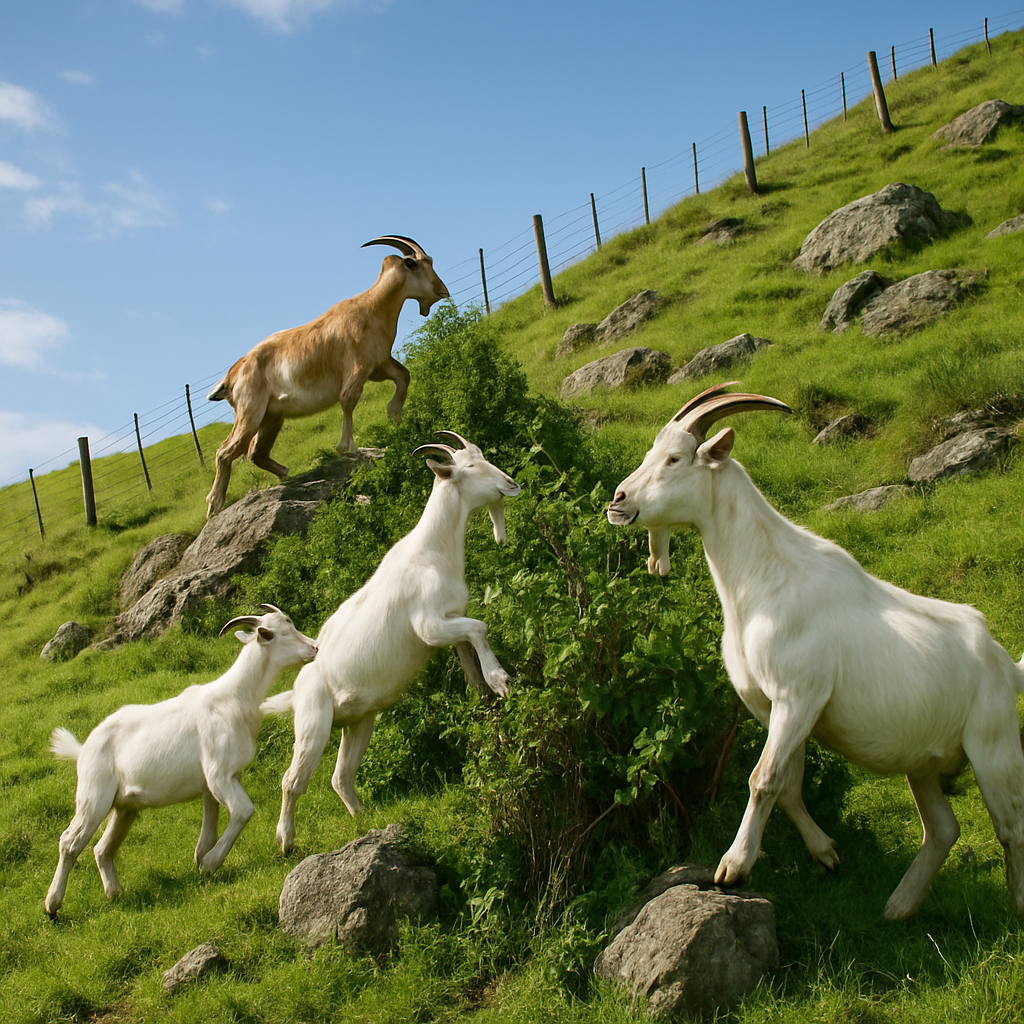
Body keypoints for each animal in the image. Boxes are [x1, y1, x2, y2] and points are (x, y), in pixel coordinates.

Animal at [44, 605, 317, 916]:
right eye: (279, 633)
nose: (314, 647)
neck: (234, 699)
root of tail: (83, 749)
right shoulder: (219, 774)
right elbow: (244, 811)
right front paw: (210, 864)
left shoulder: (216, 782)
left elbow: (209, 831)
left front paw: (201, 860)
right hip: (93, 795)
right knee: (69, 841)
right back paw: (52, 905)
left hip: (124, 807)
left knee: (102, 848)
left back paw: (115, 893)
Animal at [205, 235, 450, 518]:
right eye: (420, 264)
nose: (442, 291)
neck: (373, 308)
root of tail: (231, 377)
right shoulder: (357, 369)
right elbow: (348, 400)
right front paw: (348, 447)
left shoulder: (378, 365)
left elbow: (403, 376)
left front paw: (394, 416)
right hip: (250, 410)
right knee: (225, 452)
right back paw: (214, 505)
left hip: (271, 416)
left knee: (256, 452)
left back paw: (286, 473)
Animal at [262, 432, 519, 854]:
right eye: (469, 467)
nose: (511, 484)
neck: (433, 550)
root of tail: (298, 687)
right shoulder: (429, 626)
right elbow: (480, 627)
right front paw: (501, 680)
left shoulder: (452, 622)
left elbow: (471, 646)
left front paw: (485, 694)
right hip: (313, 725)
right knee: (291, 780)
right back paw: (286, 841)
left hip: (358, 722)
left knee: (340, 776)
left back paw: (363, 819)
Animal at [607, 382, 1024, 919]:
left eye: (674, 458)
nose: (618, 500)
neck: (765, 579)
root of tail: (1006, 664)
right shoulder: (771, 706)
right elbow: (786, 783)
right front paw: (826, 852)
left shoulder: (798, 696)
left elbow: (762, 778)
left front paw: (734, 866)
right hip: (924, 761)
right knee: (943, 829)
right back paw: (898, 906)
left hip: (994, 746)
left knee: (1011, 826)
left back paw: (1015, 902)